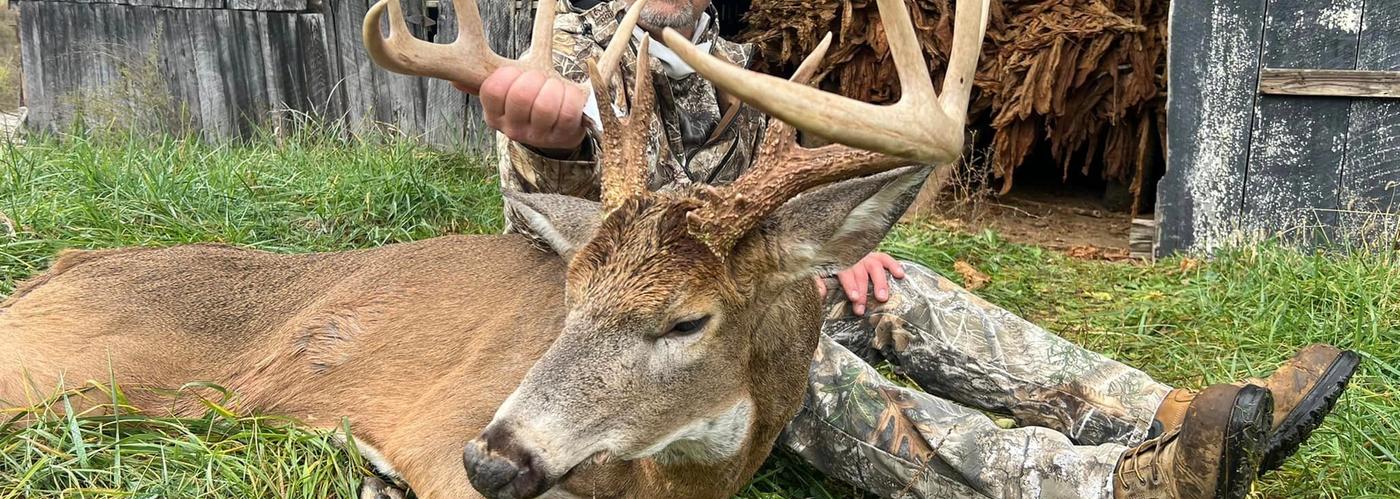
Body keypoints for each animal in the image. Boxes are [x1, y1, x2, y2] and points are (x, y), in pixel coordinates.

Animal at [0, 0, 989, 496]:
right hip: (61, 373)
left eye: (687, 321)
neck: (669, 487)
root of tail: (66, 266)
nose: (494, 458)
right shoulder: (439, 434)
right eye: (571, 298)